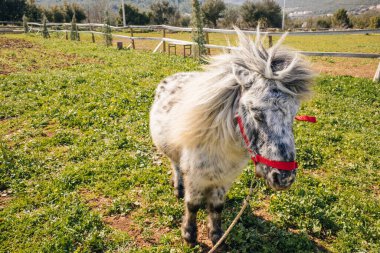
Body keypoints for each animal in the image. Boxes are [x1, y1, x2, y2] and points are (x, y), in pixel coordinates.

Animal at [150, 28, 314, 247]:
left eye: (294, 114)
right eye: (256, 112)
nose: (284, 178)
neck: (219, 146)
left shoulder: (224, 180)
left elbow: (216, 207)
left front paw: (216, 237)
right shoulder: (195, 177)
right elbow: (192, 205)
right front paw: (189, 236)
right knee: (175, 166)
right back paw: (178, 188)